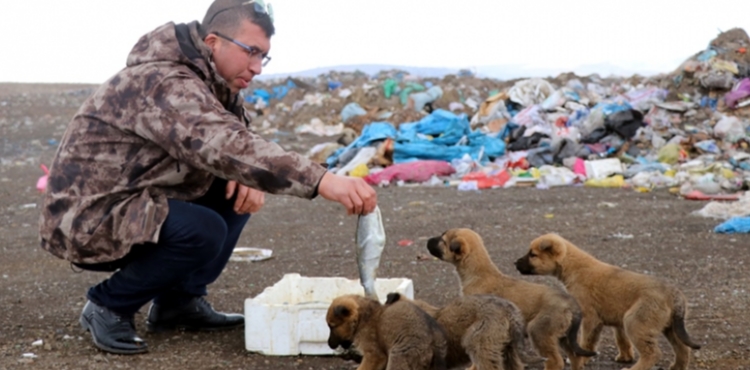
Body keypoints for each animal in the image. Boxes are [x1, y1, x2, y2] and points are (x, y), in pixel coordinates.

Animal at [428, 228, 600, 370]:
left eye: (443, 240)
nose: (427, 240)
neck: (478, 274)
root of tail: (571, 304)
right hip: (564, 336)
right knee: (576, 358)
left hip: (539, 331)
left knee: (555, 361)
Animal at [516, 234, 704, 370]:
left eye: (533, 255)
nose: (515, 263)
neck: (575, 268)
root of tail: (674, 294)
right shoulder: (617, 320)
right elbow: (622, 340)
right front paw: (625, 357)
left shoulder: (590, 318)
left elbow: (586, 342)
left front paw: (582, 359)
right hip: (669, 327)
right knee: (683, 348)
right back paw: (677, 366)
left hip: (635, 321)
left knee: (653, 353)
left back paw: (634, 369)